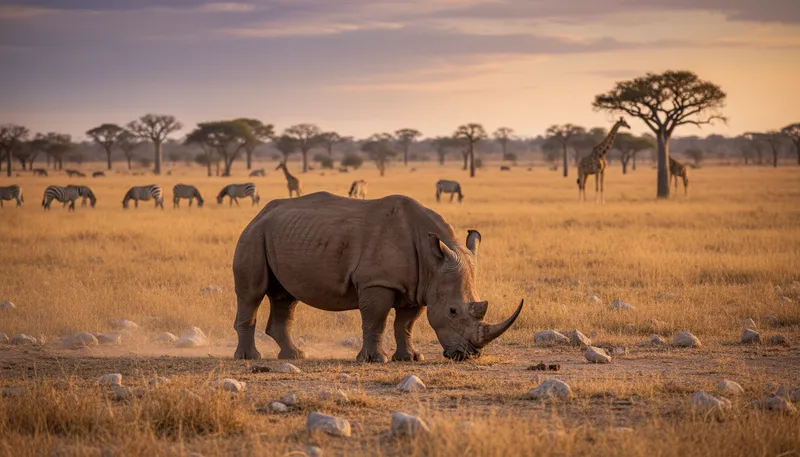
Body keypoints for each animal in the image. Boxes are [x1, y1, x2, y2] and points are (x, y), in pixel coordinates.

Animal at [232, 191, 524, 362]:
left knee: (285, 297)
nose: (470, 355)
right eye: (452, 311)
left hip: (278, 234)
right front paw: (375, 359)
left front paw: (410, 358)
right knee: (252, 294)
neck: (433, 260)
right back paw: (250, 358)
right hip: (254, 235)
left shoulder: (419, 286)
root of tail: (259, 213)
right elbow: (376, 320)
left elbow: (405, 324)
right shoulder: (378, 282)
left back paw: (295, 356)